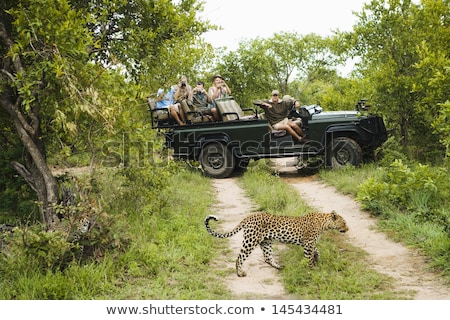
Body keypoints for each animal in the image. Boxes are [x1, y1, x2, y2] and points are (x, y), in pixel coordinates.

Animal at [204, 211, 348, 276]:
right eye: (344, 222)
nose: (347, 229)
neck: (324, 224)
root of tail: (248, 217)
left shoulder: (308, 244)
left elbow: (317, 251)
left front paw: (317, 258)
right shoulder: (308, 244)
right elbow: (309, 257)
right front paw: (311, 269)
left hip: (266, 242)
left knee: (267, 258)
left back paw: (279, 267)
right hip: (251, 240)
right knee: (240, 257)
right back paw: (240, 273)